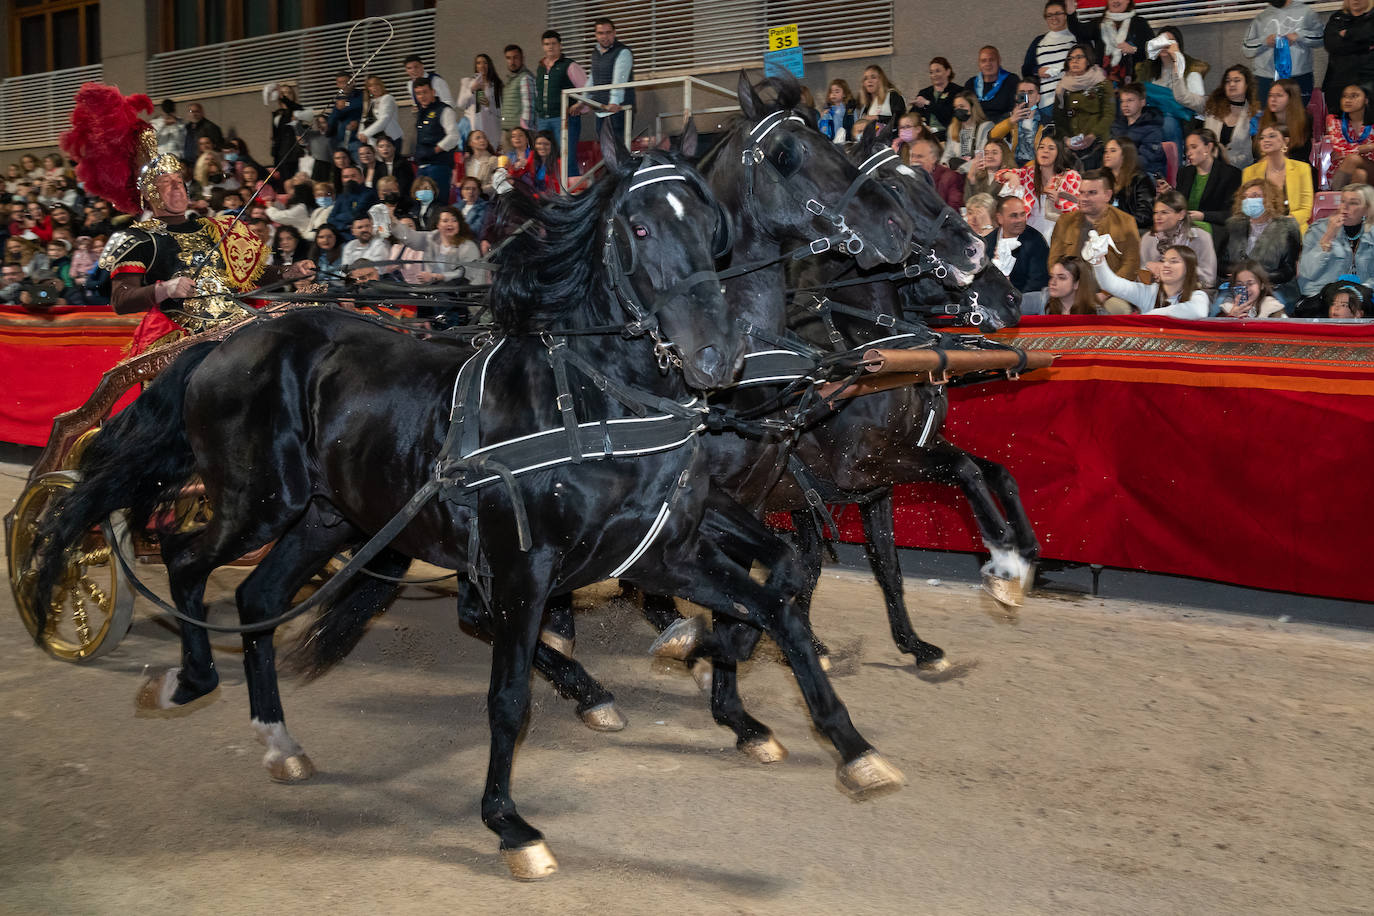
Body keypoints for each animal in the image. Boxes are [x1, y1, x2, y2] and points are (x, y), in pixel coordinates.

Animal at [29, 134, 912, 873]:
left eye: (710, 230)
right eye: (638, 228)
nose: (713, 355)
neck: (590, 402)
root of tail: (230, 337)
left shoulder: (666, 548)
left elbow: (776, 607)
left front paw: (847, 744)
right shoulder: (524, 568)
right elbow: (508, 696)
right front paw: (510, 823)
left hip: (328, 516)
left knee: (255, 597)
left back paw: (278, 738)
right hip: (258, 500)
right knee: (185, 558)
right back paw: (181, 677)